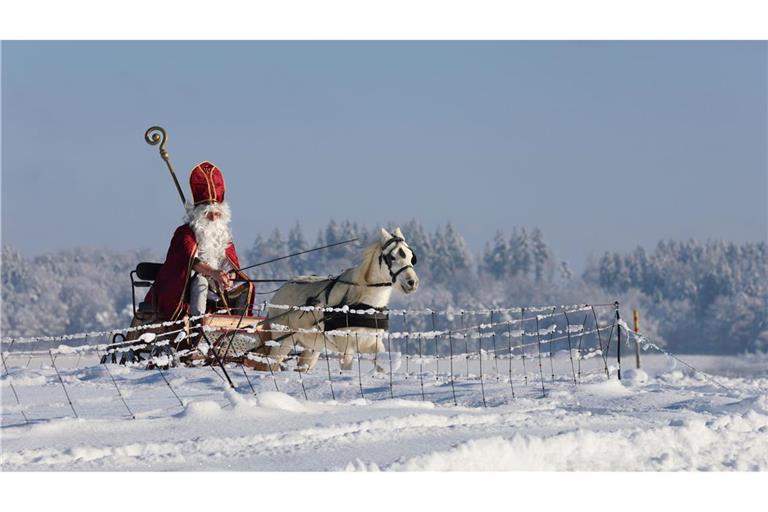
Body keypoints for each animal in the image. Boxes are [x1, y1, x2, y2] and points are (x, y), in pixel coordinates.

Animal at [264, 228, 420, 372]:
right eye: (392, 257)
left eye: (411, 256)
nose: (412, 282)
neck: (364, 303)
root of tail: (280, 291)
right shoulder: (346, 349)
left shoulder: (372, 343)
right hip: (283, 341)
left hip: (312, 347)